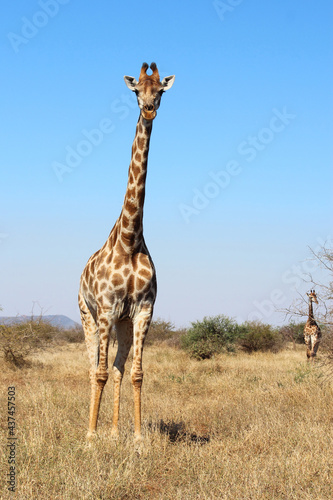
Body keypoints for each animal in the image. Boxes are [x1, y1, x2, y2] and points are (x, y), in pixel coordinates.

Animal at [78, 62, 175, 442]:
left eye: (160, 91)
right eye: (136, 91)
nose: (148, 109)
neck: (130, 240)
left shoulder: (143, 310)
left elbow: (135, 373)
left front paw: (136, 439)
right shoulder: (106, 309)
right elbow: (101, 372)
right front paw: (91, 440)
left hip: (121, 322)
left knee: (118, 367)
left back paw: (115, 431)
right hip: (88, 315)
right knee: (93, 367)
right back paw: (93, 433)